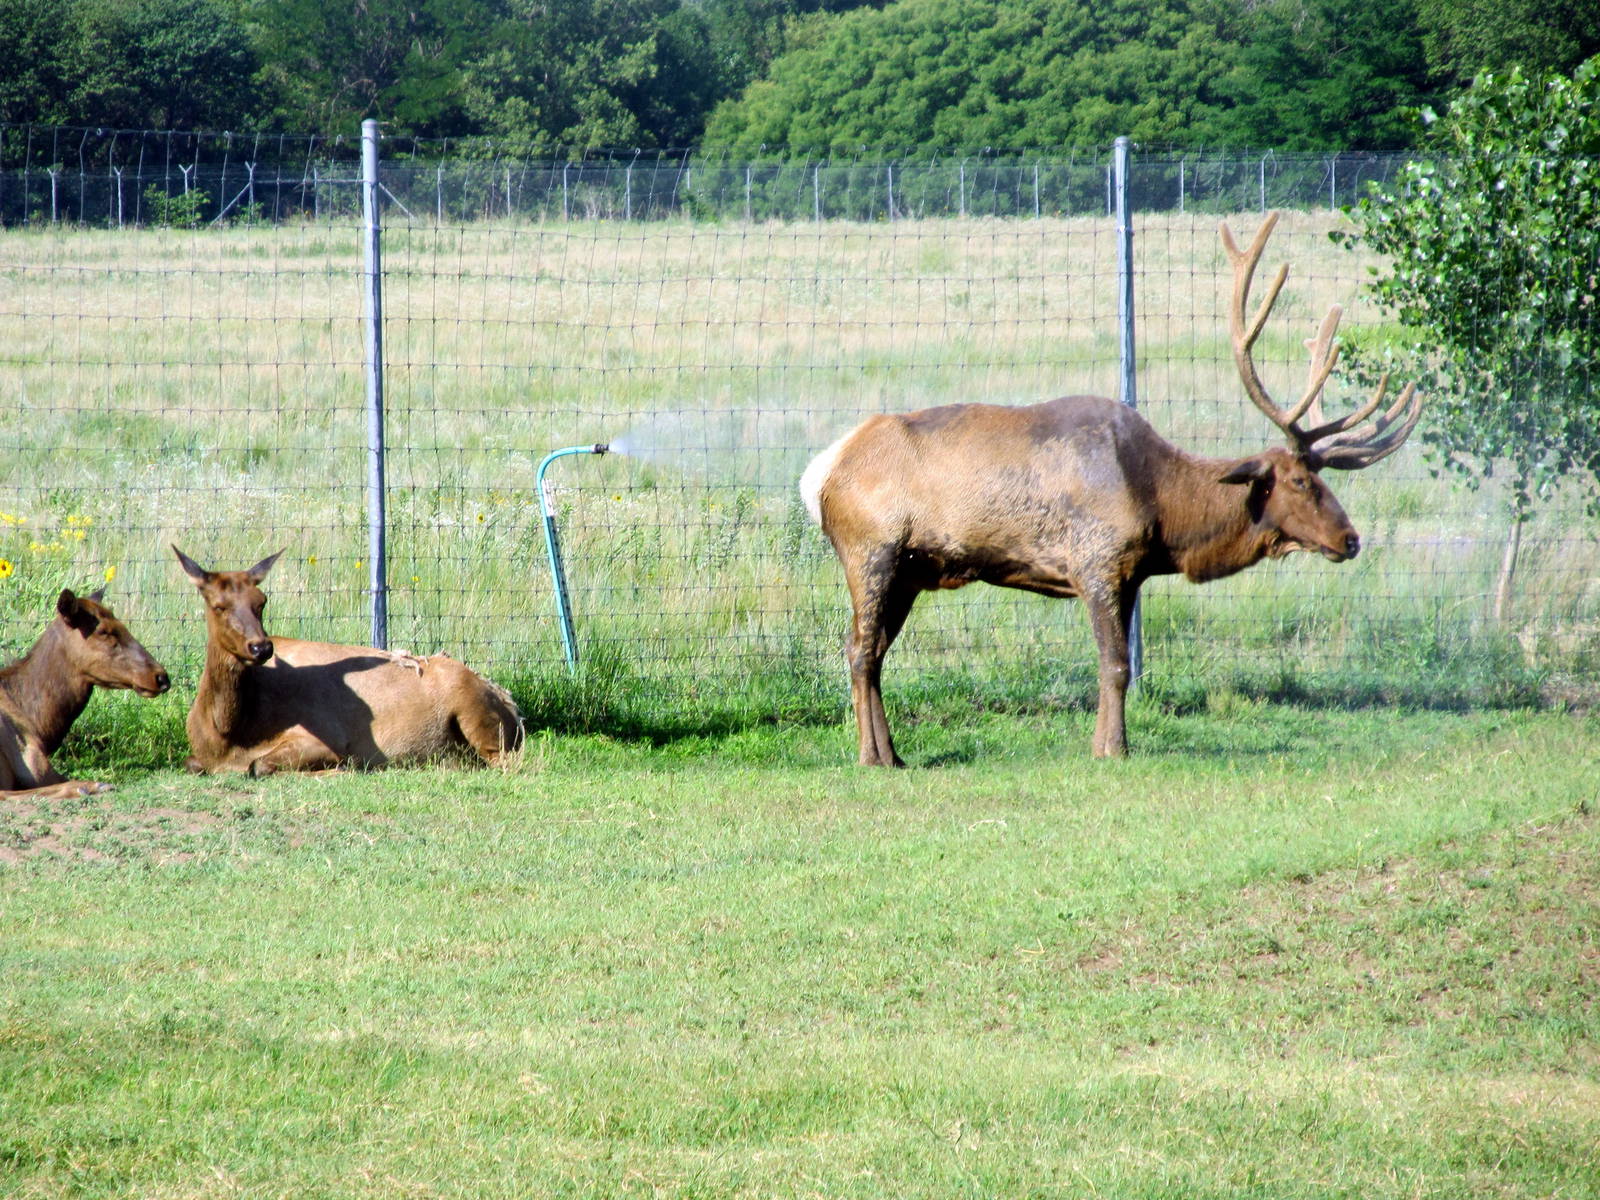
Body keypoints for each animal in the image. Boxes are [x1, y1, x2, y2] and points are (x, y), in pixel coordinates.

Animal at [174, 547, 523, 776]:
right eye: (218, 605)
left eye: (261, 601)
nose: (261, 647)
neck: (226, 733)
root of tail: (510, 703)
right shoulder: (198, 757)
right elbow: (192, 764)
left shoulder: (325, 739)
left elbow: (258, 765)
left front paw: (341, 769)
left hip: (479, 720)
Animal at [800, 212, 1422, 766]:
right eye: (1298, 480)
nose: (1350, 539)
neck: (1165, 512)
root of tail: (821, 471)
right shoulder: (1096, 560)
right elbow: (1116, 665)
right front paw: (1112, 749)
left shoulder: (1129, 575)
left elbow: (1116, 663)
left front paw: (1106, 743)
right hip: (870, 551)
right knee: (859, 650)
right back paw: (871, 757)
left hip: (910, 570)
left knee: (876, 651)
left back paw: (895, 754)